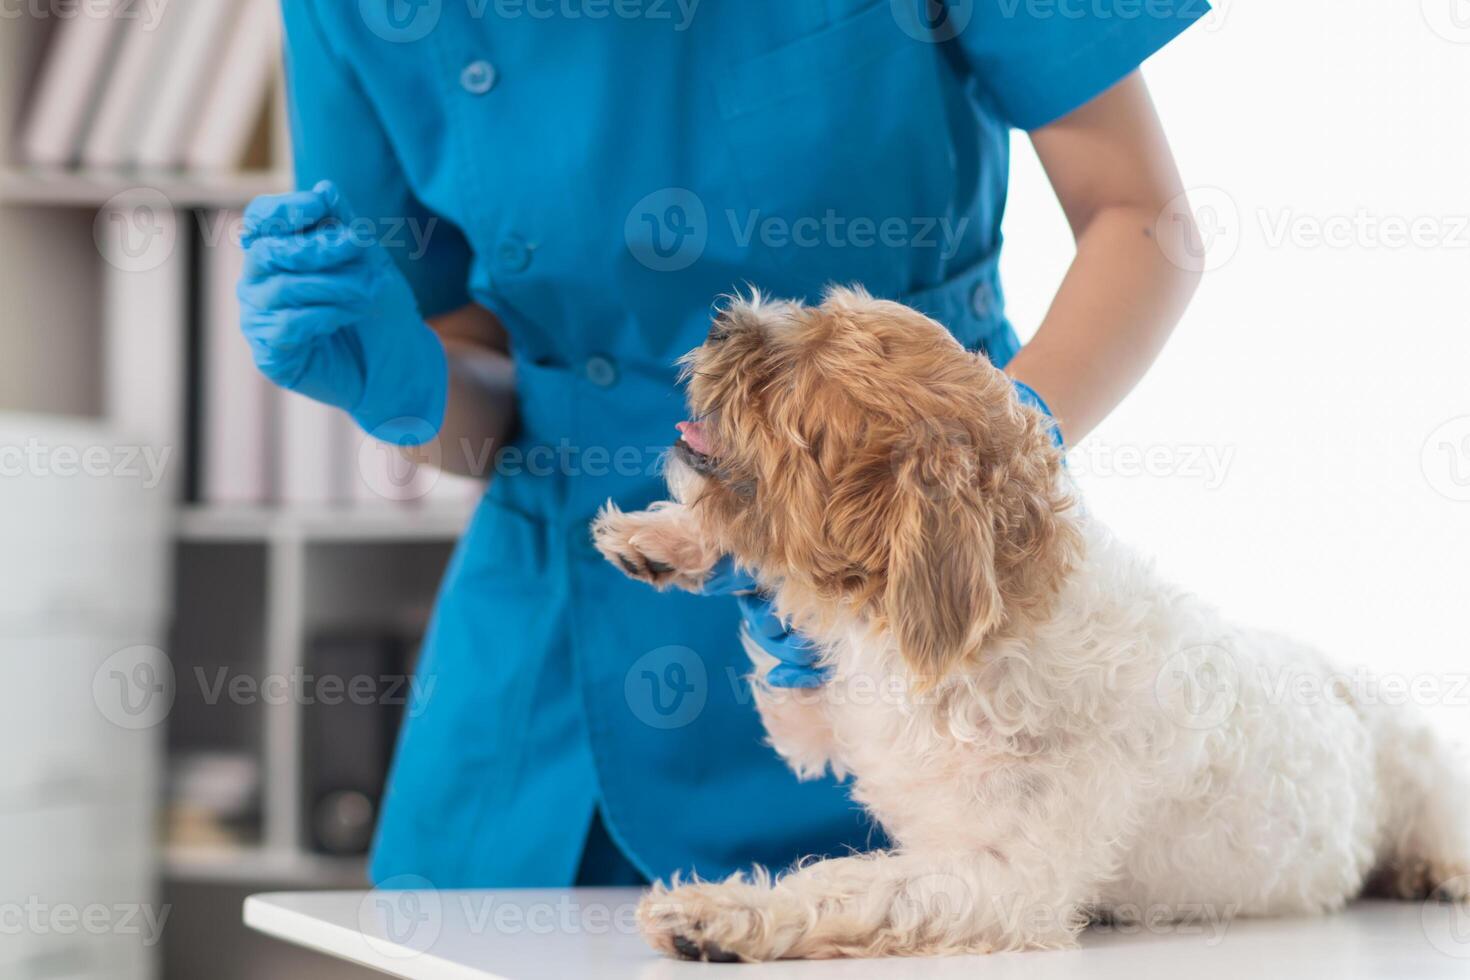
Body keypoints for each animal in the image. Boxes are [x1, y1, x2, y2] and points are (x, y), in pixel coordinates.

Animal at [588, 287, 1470, 963]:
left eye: (791, 383)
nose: (716, 321)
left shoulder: (1003, 882)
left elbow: (845, 883)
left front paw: (720, 914)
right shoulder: (825, 718)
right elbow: (781, 660)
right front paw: (667, 538)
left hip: (1429, 787)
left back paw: (1437, 874)